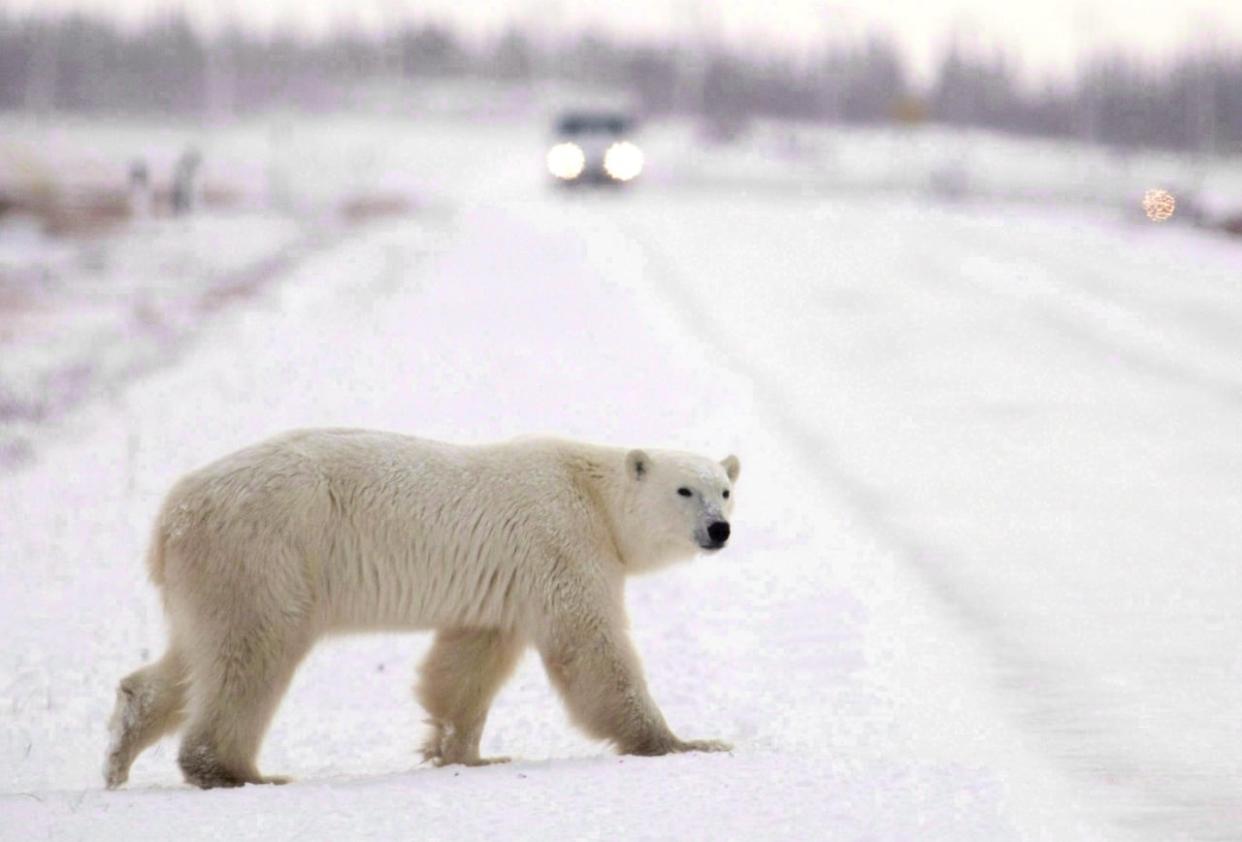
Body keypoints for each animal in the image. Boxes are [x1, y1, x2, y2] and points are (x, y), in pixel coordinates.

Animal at [104, 429, 735, 789]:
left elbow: (468, 663)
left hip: (214, 574)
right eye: (685, 490)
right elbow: (592, 648)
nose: (719, 529)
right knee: (251, 651)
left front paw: (468, 755)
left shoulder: (504, 582)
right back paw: (239, 772)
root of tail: (171, 517)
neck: (594, 495)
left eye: (726, 490)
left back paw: (120, 752)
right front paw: (686, 742)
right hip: (265, 551)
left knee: (192, 657)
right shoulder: (562, 541)